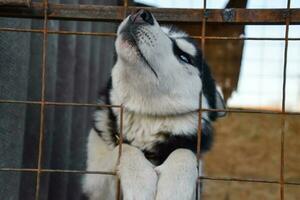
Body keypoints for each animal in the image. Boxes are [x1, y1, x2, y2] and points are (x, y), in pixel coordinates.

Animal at [82, 9, 225, 200]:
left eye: (184, 56)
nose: (141, 14)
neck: (145, 123)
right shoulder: (93, 184)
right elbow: (124, 148)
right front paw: (141, 183)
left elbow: (185, 152)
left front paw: (174, 188)